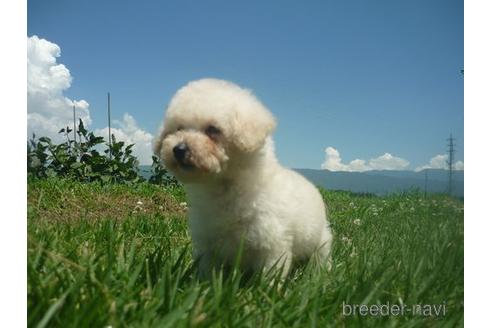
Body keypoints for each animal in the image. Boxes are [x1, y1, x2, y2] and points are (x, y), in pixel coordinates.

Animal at [154, 79, 330, 276]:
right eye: (178, 128)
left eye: (213, 129)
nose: (178, 149)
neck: (224, 186)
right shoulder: (207, 243)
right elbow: (207, 271)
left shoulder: (271, 244)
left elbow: (269, 275)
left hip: (321, 239)